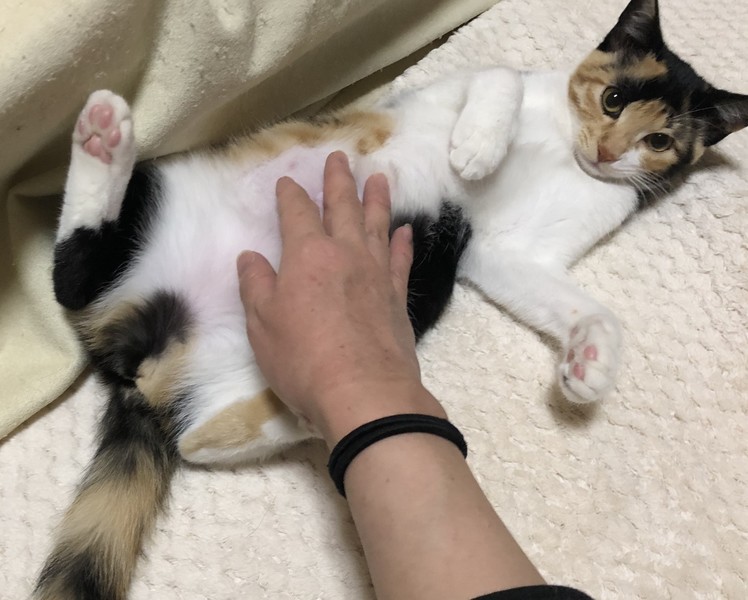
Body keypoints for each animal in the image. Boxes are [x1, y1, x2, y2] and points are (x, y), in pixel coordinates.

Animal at [36, 0, 748, 598]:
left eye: (659, 142)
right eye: (613, 97)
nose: (605, 150)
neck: (563, 148)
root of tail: (137, 351)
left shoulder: (508, 252)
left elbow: (568, 297)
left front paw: (590, 360)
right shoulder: (443, 94)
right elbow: (499, 78)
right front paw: (479, 147)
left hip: (254, 352)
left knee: (196, 437)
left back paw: (311, 407)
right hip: (160, 199)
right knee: (70, 277)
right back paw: (102, 139)